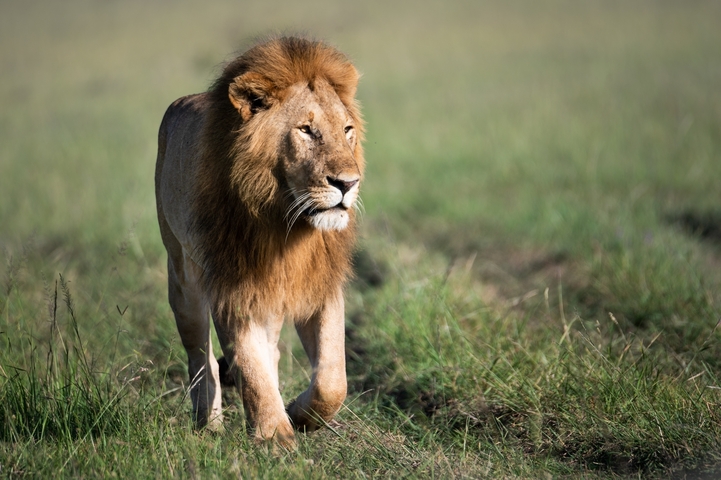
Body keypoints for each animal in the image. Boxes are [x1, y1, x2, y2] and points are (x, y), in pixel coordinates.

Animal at [154, 36, 364, 447]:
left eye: (347, 129)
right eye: (306, 130)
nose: (348, 183)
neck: (285, 225)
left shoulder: (320, 282)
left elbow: (333, 380)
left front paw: (298, 415)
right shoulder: (232, 285)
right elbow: (250, 367)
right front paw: (274, 437)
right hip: (182, 276)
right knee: (201, 357)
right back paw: (209, 425)